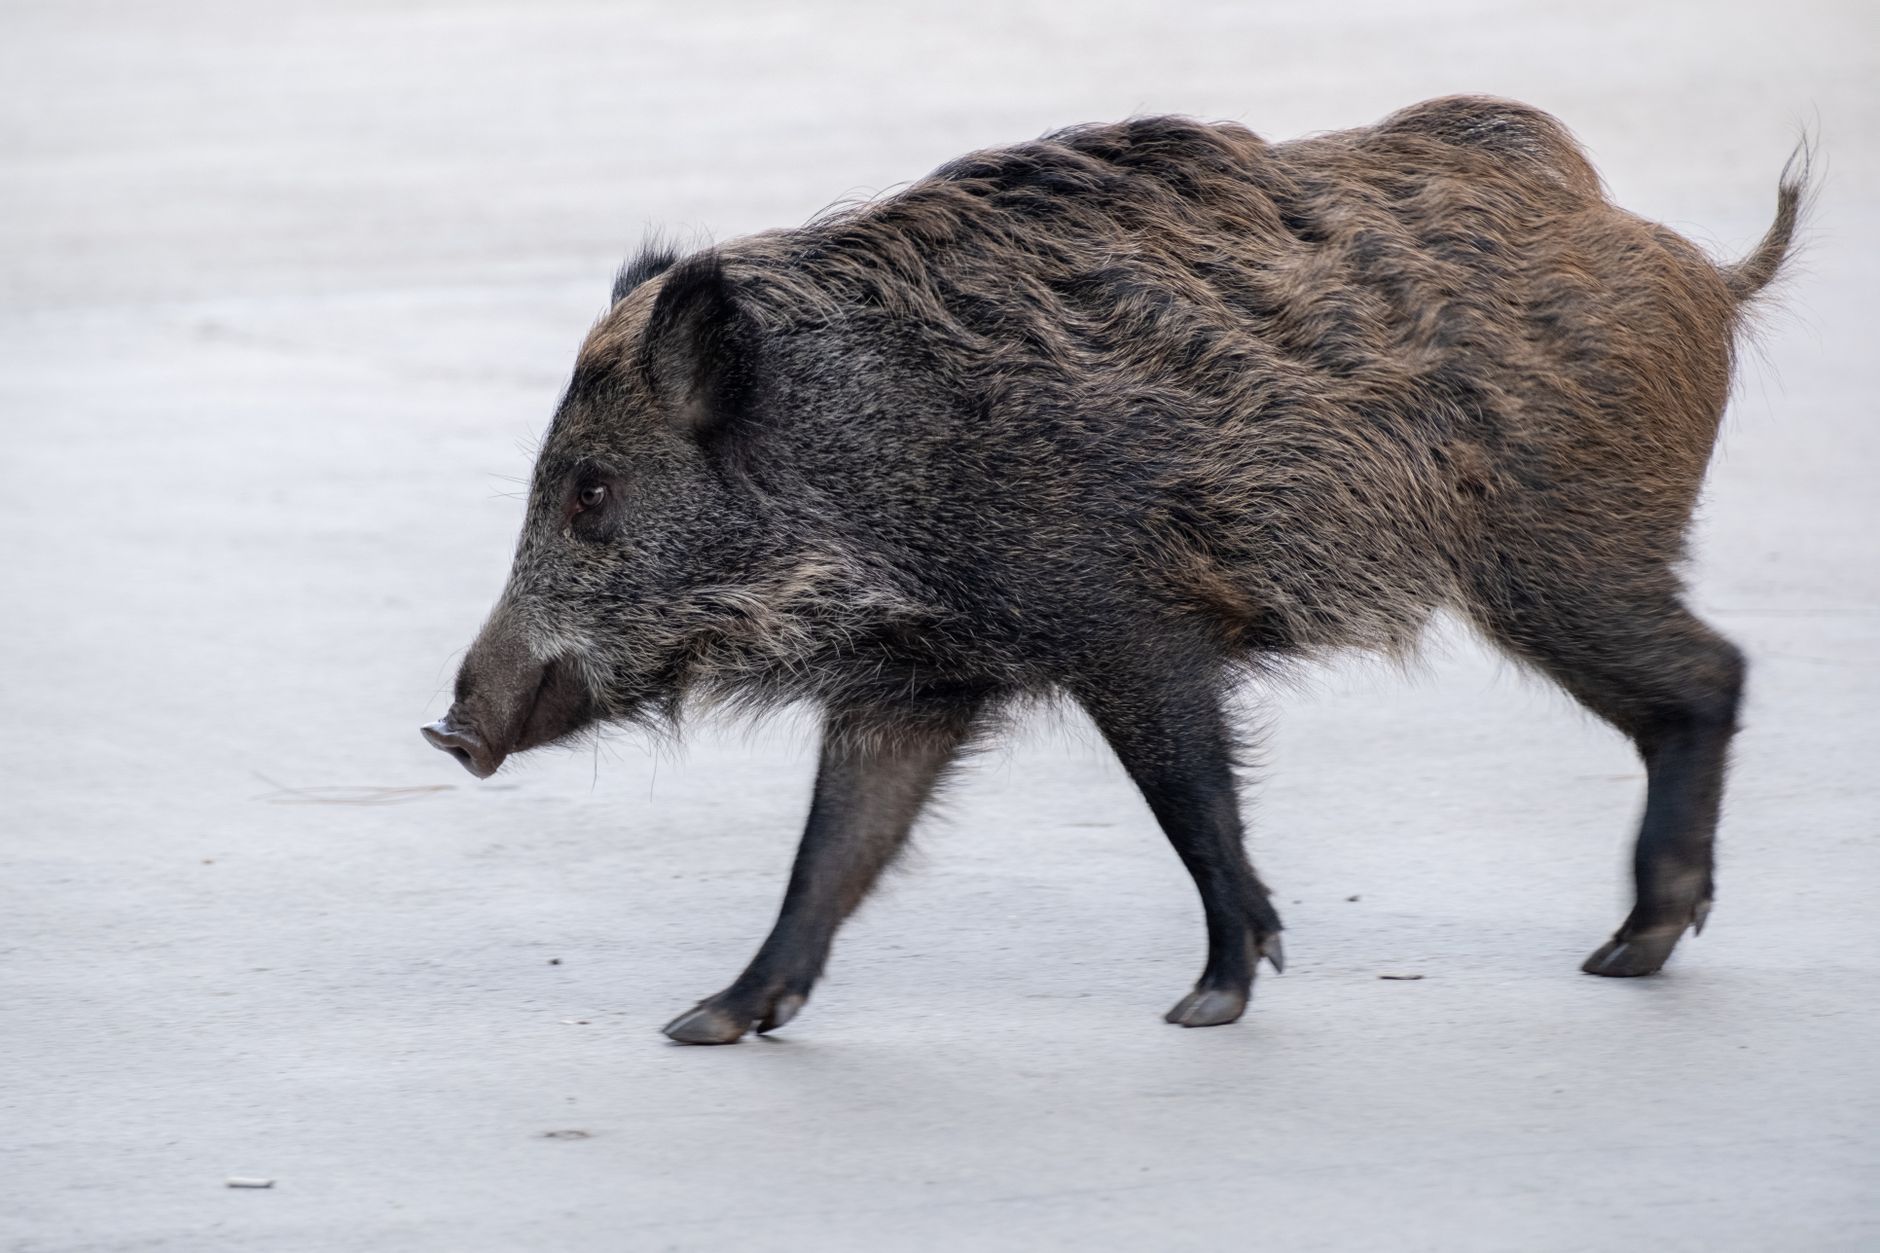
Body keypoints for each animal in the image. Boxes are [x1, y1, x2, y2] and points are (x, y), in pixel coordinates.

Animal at [423, 96, 1805, 1044]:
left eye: (590, 491)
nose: (449, 727)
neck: (879, 469)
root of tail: (1696, 266)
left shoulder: (1130, 627)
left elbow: (1189, 797)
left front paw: (1206, 1002)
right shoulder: (913, 682)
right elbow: (834, 849)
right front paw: (706, 1020)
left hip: (1559, 555)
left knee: (1711, 675)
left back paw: (1624, 950)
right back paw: (1627, 951)